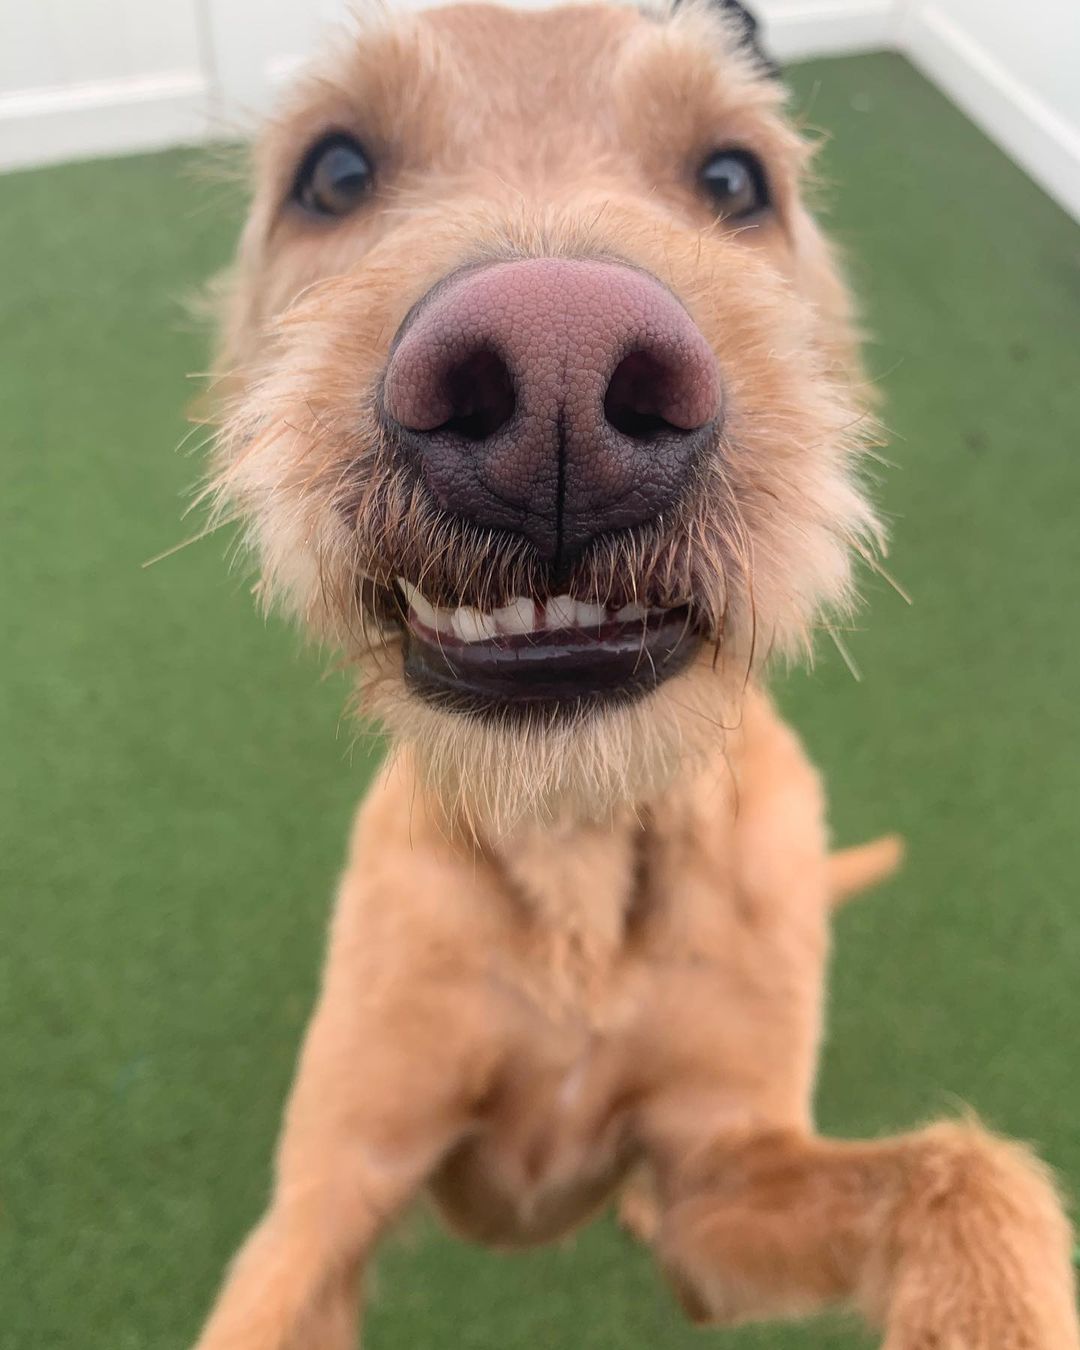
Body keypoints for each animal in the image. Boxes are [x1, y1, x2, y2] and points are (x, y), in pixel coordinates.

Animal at [195, 5, 1080, 1344]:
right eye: (334, 172)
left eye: (734, 180)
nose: (556, 367)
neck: (577, 838)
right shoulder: (329, 1196)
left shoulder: (721, 1177)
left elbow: (966, 1172)